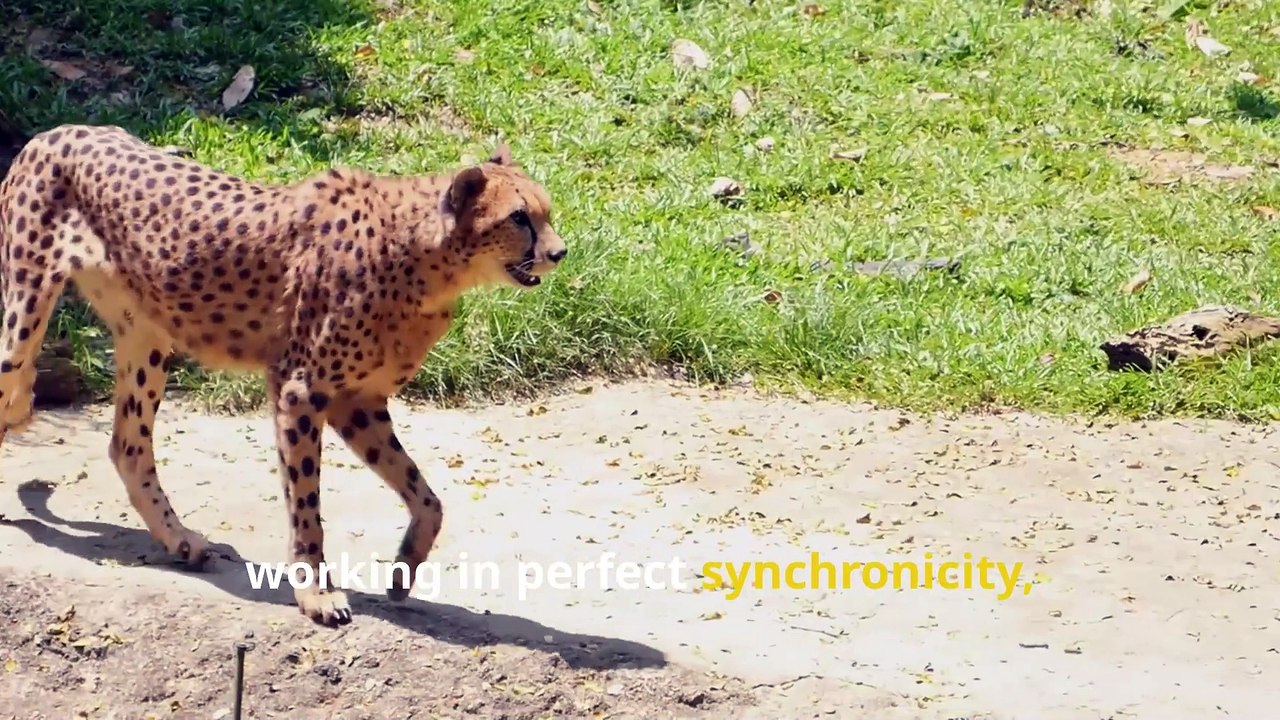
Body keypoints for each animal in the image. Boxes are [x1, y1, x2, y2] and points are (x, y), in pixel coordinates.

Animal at [0, 123, 567, 626]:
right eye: (519, 217)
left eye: (546, 212)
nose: (559, 252)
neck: (426, 257)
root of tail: (58, 131)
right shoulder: (301, 390)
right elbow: (308, 504)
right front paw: (317, 593)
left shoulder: (357, 401)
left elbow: (426, 496)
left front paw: (404, 568)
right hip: (24, 321)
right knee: (18, 402)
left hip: (148, 336)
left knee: (128, 445)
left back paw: (182, 541)